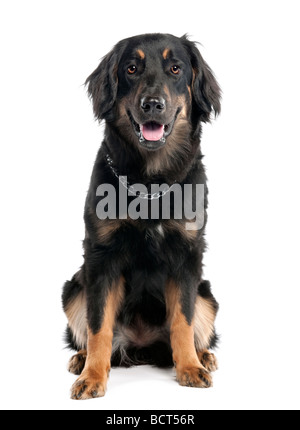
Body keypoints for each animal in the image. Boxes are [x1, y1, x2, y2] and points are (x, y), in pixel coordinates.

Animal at [61, 33, 220, 400]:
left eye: (175, 68)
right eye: (131, 69)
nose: (152, 104)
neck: (150, 185)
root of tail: (143, 346)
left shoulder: (187, 256)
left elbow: (183, 320)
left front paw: (189, 367)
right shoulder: (101, 258)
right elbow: (99, 326)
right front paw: (93, 376)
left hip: (207, 294)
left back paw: (203, 356)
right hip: (74, 287)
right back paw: (82, 358)